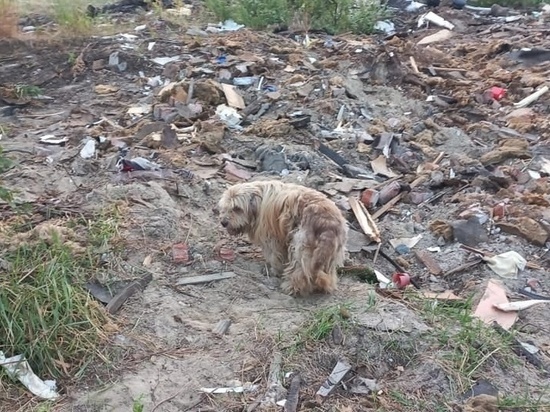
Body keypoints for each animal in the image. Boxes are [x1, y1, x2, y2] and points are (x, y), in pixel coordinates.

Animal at [217, 180, 350, 296]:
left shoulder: (271, 239)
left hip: (300, 245)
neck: (259, 198)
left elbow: (274, 256)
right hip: (331, 252)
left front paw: (273, 270)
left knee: (300, 270)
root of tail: (327, 223)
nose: (223, 222)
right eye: (225, 207)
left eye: (237, 208)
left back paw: (293, 286)